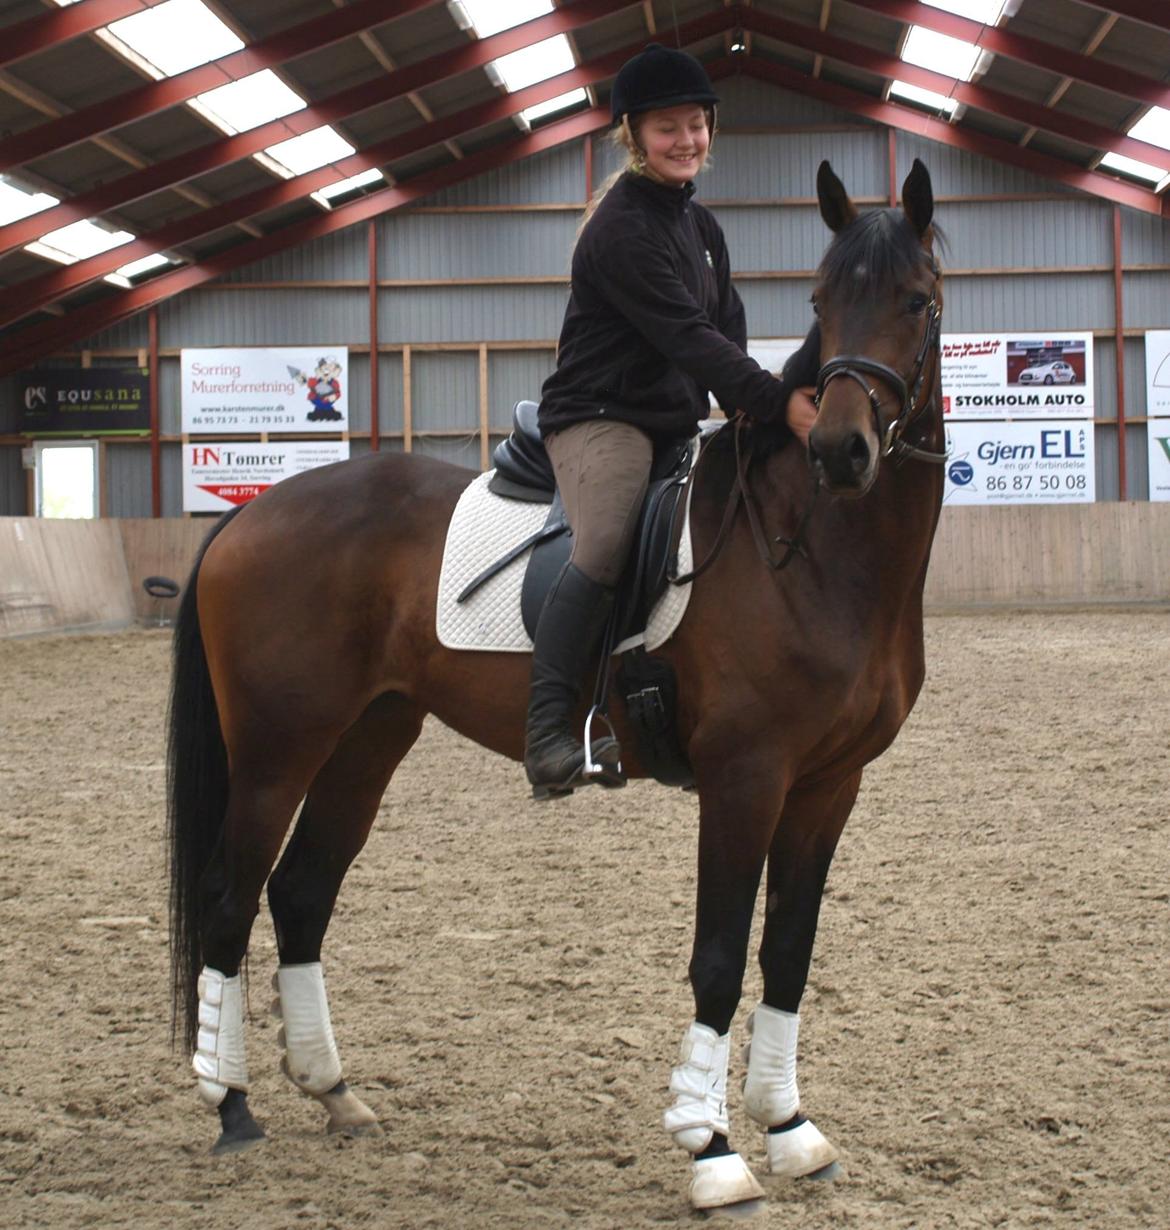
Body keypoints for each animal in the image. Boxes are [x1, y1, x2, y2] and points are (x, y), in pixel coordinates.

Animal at [169, 156, 944, 1210]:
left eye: (917, 300)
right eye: (822, 301)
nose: (839, 449)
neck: (814, 551)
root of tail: (250, 513)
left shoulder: (829, 784)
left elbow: (787, 951)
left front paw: (789, 1131)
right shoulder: (746, 779)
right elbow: (717, 960)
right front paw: (713, 1153)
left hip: (368, 739)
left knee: (298, 894)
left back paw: (333, 1093)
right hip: (277, 749)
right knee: (228, 896)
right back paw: (231, 1104)